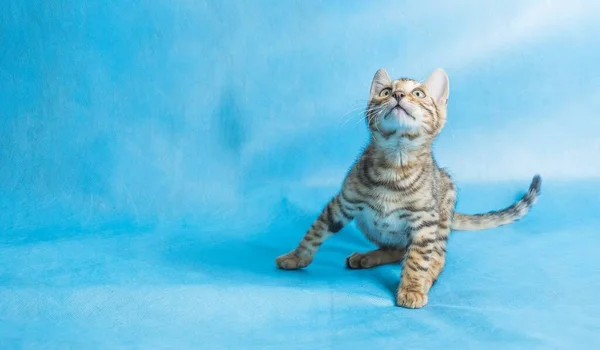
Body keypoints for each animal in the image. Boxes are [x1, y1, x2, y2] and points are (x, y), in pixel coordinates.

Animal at [274, 68, 540, 308]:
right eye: (385, 91)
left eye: (419, 93)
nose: (399, 95)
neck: (394, 164)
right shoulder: (342, 202)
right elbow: (315, 232)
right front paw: (295, 257)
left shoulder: (425, 221)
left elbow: (417, 259)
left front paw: (412, 288)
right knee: (396, 249)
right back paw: (366, 257)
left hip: (444, 211)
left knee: (435, 257)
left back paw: (424, 279)